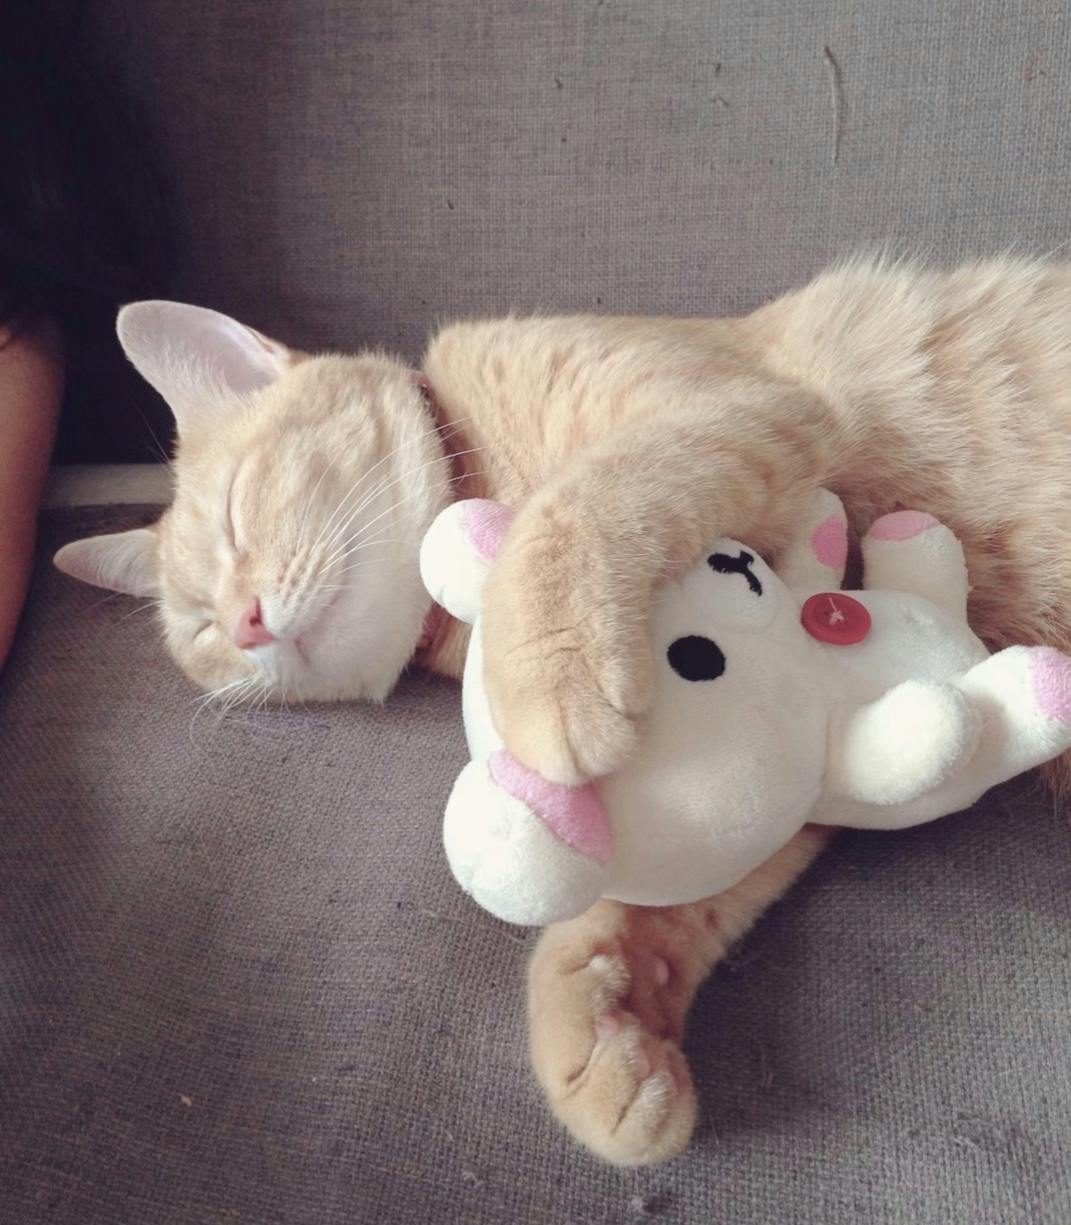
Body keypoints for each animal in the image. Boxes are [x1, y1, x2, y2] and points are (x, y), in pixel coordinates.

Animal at [56, 256, 1071, 1165]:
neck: (477, 472)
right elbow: (670, 888)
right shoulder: (797, 751)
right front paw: (604, 1018)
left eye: (235, 516)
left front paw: (547, 674)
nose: (246, 622)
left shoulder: (742, 408)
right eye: (201, 630)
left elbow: (575, 501)